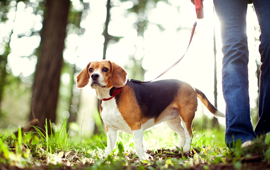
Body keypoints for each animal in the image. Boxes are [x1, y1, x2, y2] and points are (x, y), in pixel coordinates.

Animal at [76, 60, 224, 160]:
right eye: (91, 69)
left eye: (105, 69)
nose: (94, 76)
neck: (112, 95)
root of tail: (192, 86)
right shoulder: (111, 129)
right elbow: (110, 146)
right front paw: (105, 157)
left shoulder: (136, 126)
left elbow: (138, 145)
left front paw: (143, 159)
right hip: (172, 122)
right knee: (183, 134)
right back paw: (179, 148)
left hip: (186, 116)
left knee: (189, 134)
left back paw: (187, 148)